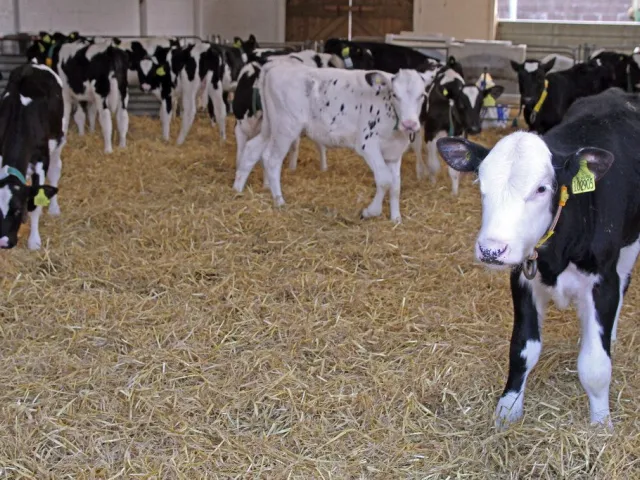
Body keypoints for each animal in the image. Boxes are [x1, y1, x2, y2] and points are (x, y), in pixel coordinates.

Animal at [0, 63, 65, 250]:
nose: (3, 242)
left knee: (56, 171)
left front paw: (34, 241)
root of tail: (33, 64)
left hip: (59, 139)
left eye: (17, 210)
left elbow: (36, 204)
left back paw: (54, 209)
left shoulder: (41, 162)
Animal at [233, 63, 436, 223]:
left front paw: (396, 218)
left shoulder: (394, 153)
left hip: (270, 126)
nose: (409, 124)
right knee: (272, 159)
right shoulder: (368, 145)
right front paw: (369, 212)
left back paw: (237, 189)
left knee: (252, 149)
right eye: (394, 94)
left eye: (422, 95)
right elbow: (385, 180)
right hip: (286, 127)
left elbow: (396, 186)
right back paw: (279, 200)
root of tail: (274, 66)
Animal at [411, 65, 504, 195]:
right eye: (461, 103)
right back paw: (420, 172)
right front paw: (433, 183)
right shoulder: (430, 131)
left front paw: (454, 193)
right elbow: (433, 165)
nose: (475, 128)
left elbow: (454, 170)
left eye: (481, 103)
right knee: (417, 147)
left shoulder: (458, 133)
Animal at [436, 87, 640, 430]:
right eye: (480, 183)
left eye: (542, 188)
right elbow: (522, 348)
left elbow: (596, 365)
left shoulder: (602, 280)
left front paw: (600, 423)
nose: (492, 250)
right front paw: (507, 410)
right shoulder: (522, 278)